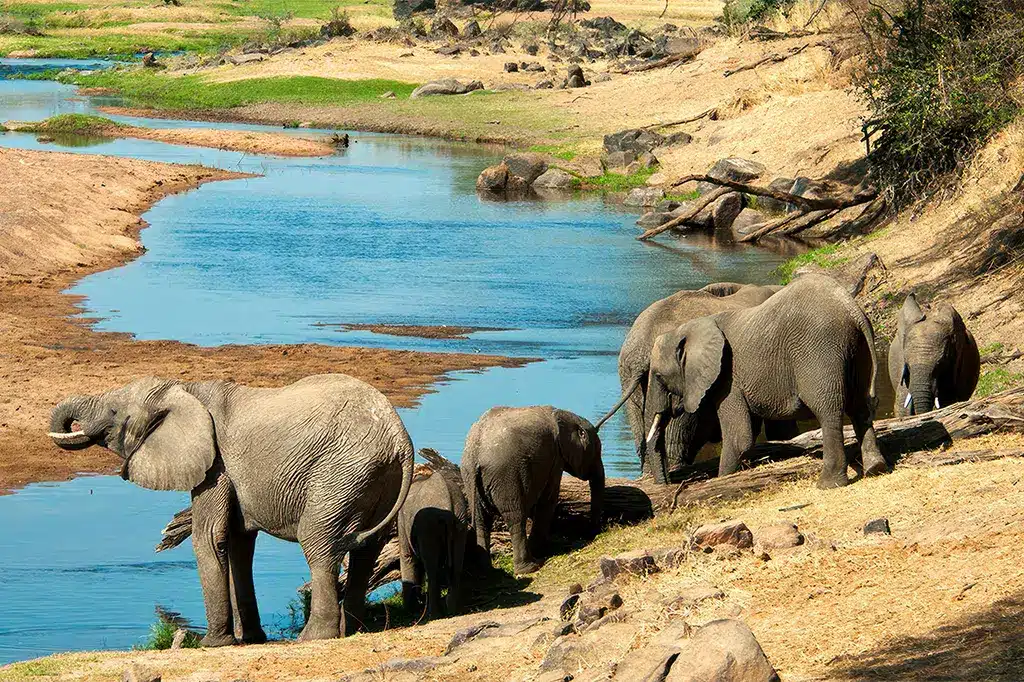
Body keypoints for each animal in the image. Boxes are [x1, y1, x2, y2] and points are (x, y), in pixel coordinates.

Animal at [48, 374, 413, 645]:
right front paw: (250, 639)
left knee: (319, 546)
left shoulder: (215, 465)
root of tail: (400, 439)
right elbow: (239, 543)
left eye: (113, 412)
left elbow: (209, 537)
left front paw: (213, 644)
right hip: (374, 480)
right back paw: (354, 630)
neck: (185, 390)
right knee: (366, 551)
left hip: (340, 474)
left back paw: (313, 638)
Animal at [398, 448, 471, 620]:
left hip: (429, 526)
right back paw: (453, 610)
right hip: (461, 521)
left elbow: (408, 557)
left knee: (432, 568)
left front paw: (409, 610)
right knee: (456, 565)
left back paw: (433, 615)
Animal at [461, 406, 603, 575]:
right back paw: (529, 567)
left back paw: (486, 570)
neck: (563, 414)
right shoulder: (555, 458)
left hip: (470, 479)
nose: (593, 532)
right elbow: (548, 498)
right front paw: (541, 550)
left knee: (481, 520)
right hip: (506, 477)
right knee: (515, 518)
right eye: (597, 452)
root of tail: (475, 456)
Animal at [645, 273, 886, 489]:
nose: (668, 484)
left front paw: (723, 478)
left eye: (658, 376)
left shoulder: (728, 379)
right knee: (861, 407)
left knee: (829, 410)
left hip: (820, 350)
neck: (689, 327)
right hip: (859, 350)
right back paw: (876, 469)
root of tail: (852, 309)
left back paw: (828, 484)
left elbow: (739, 437)